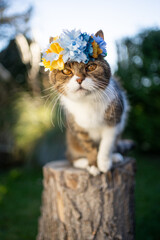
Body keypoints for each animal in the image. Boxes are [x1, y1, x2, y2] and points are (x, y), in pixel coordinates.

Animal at [48, 30, 129, 176]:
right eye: (66, 71)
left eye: (91, 66)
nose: (79, 79)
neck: (87, 102)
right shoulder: (78, 128)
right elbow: (89, 147)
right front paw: (93, 165)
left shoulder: (114, 122)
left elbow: (106, 144)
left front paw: (104, 164)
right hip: (71, 141)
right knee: (71, 158)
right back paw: (83, 162)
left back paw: (115, 157)